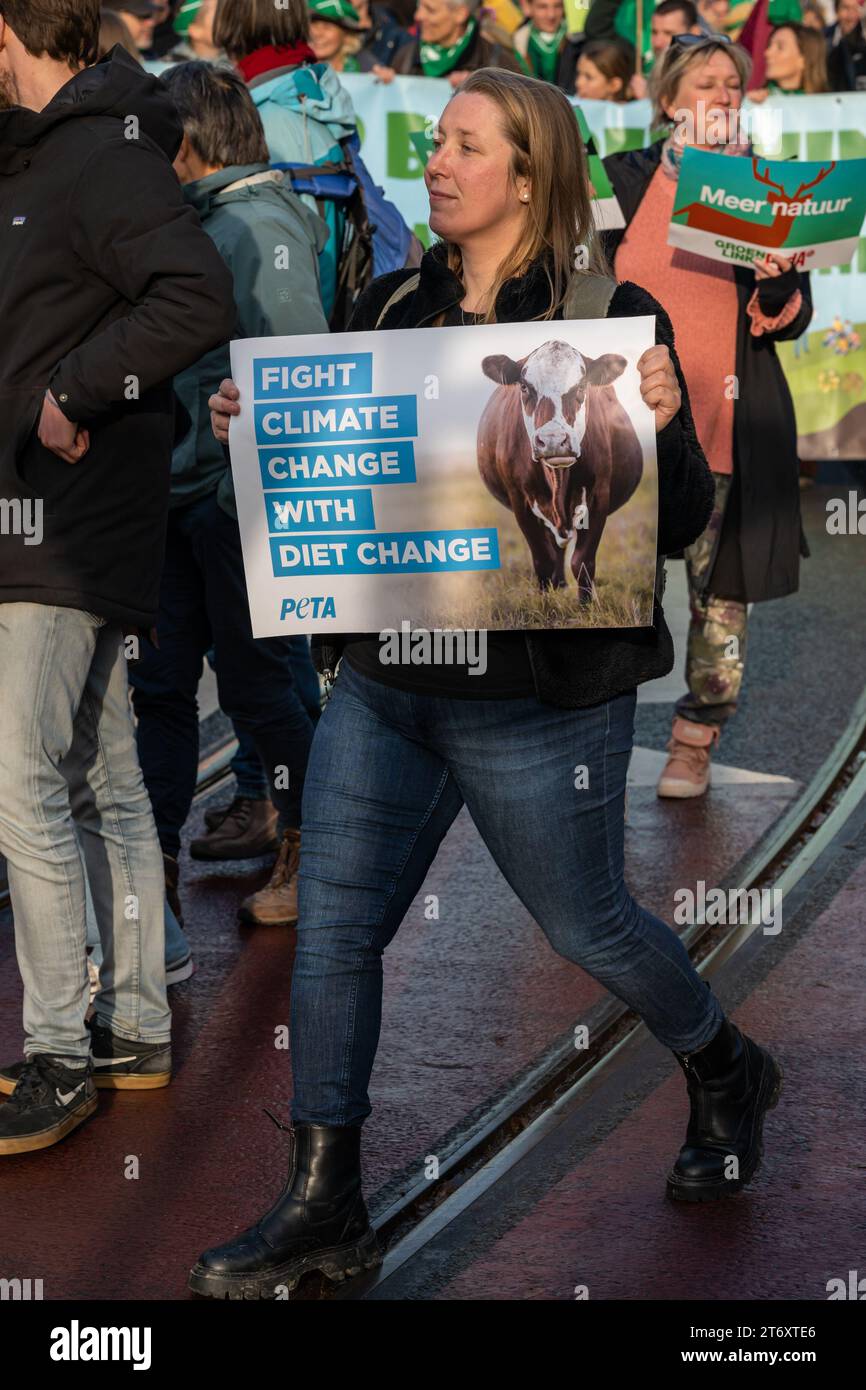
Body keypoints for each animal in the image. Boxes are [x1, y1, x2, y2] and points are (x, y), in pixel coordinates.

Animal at [480, 341, 644, 597]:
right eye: (524, 387)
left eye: (581, 386)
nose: (553, 440)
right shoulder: (519, 500)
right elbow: (543, 561)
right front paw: (545, 602)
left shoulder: (598, 495)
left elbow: (582, 562)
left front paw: (586, 603)